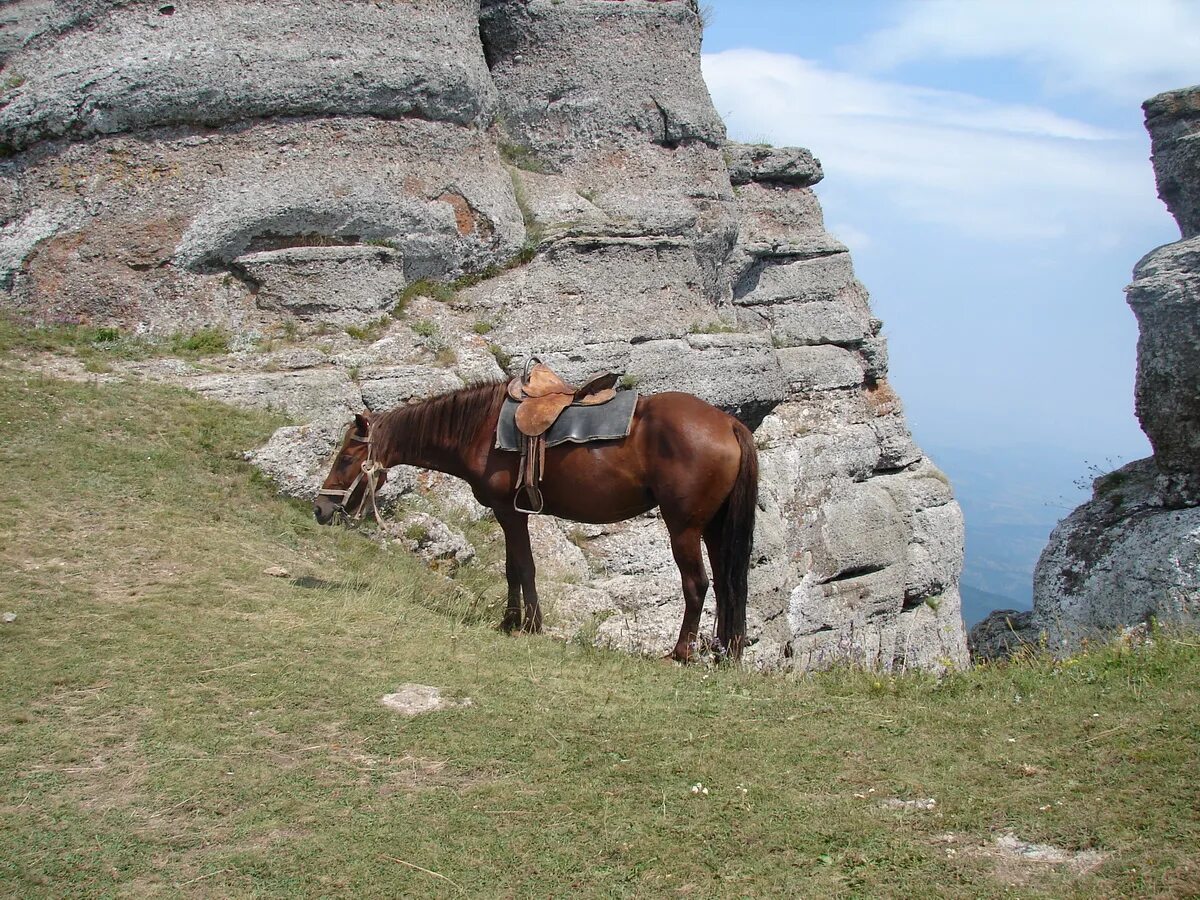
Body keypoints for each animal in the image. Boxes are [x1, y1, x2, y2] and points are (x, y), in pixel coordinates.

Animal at [312, 381, 758, 662]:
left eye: (347, 458)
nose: (320, 508)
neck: (481, 429)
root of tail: (727, 422)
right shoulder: (512, 515)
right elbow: (515, 568)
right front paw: (515, 620)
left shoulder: (508, 513)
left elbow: (521, 567)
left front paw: (524, 623)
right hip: (714, 529)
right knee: (727, 585)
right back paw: (724, 653)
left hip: (684, 528)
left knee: (697, 585)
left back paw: (681, 653)